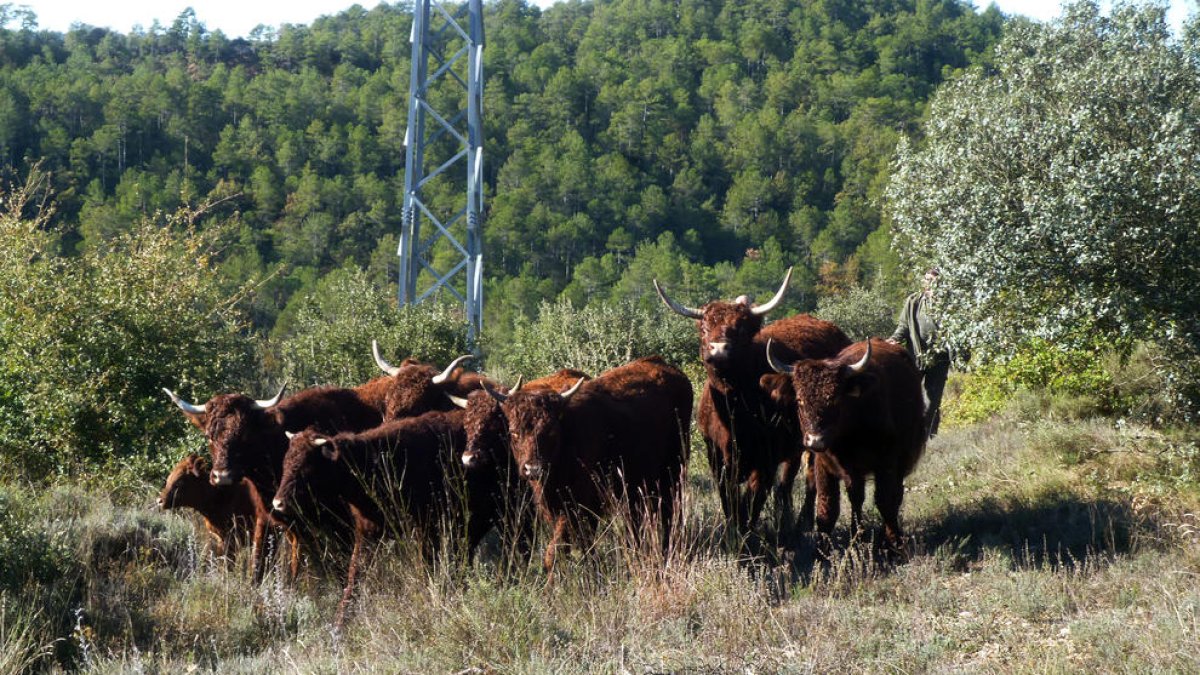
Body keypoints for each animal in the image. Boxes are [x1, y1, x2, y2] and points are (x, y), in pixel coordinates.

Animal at [272, 410, 472, 624]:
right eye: (286, 463)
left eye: (306, 467)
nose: (278, 504)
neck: (370, 462)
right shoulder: (366, 532)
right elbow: (355, 572)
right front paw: (340, 621)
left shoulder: (424, 529)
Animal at [657, 265, 854, 538]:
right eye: (704, 328)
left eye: (740, 328)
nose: (719, 349)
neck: (734, 415)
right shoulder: (718, 461)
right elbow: (730, 502)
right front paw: (733, 534)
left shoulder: (764, 463)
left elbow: (752, 502)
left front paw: (746, 536)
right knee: (788, 480)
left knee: (810, 477)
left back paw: (802, 523)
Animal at [763, 333, 921, 552]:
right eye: (800, 400)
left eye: (835, 399)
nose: (815, 440)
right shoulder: (825, 465)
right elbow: (827, 508)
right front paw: (822, 549)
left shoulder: (887, 463)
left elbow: (886, 501)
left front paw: (895, 543)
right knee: (856, 497)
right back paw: (857, 534)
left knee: (893, 496)